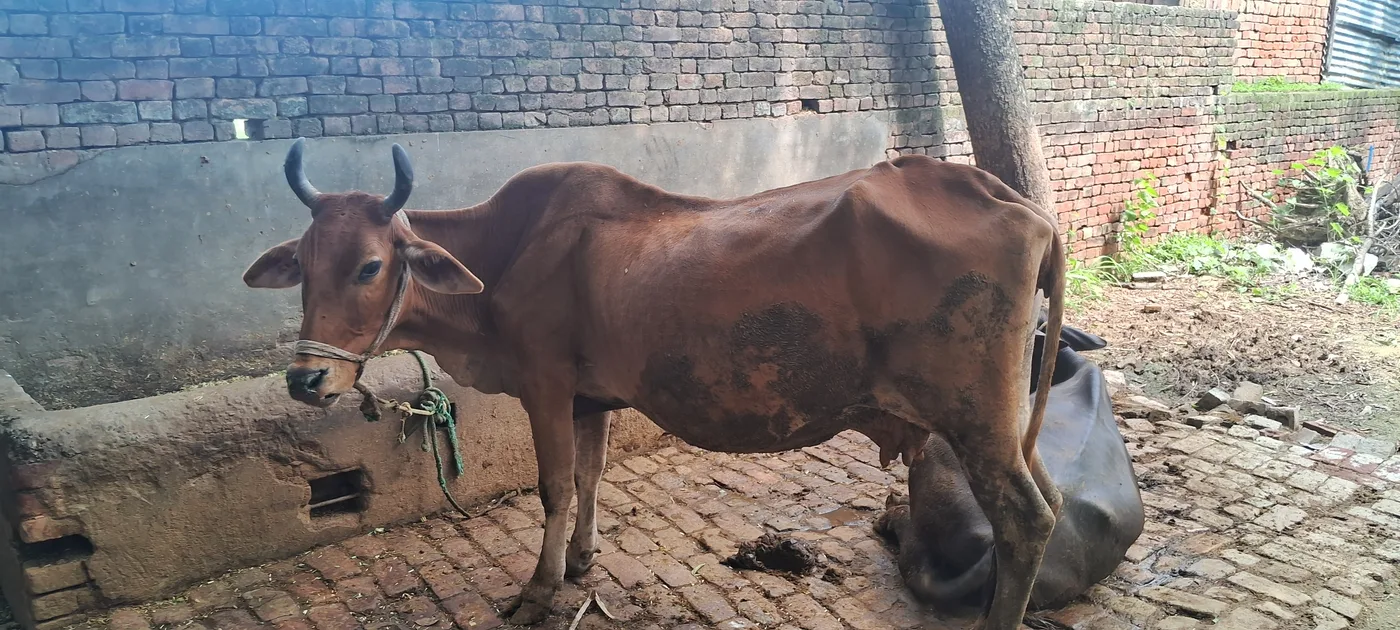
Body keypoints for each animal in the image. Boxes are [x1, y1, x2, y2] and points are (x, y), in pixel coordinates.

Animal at [242, 138, 1067, 630]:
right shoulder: (590, 399)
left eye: (370, 265)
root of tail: (1009, 199)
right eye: (304, 264)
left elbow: (555, 486)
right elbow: (591, 475)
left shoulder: (545, 385)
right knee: (1051, 501)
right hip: (1003, 419)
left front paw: (540, 589)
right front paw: (581, 560)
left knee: (1025, 517)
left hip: (976, 418)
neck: (504, 254)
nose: (307, 378)